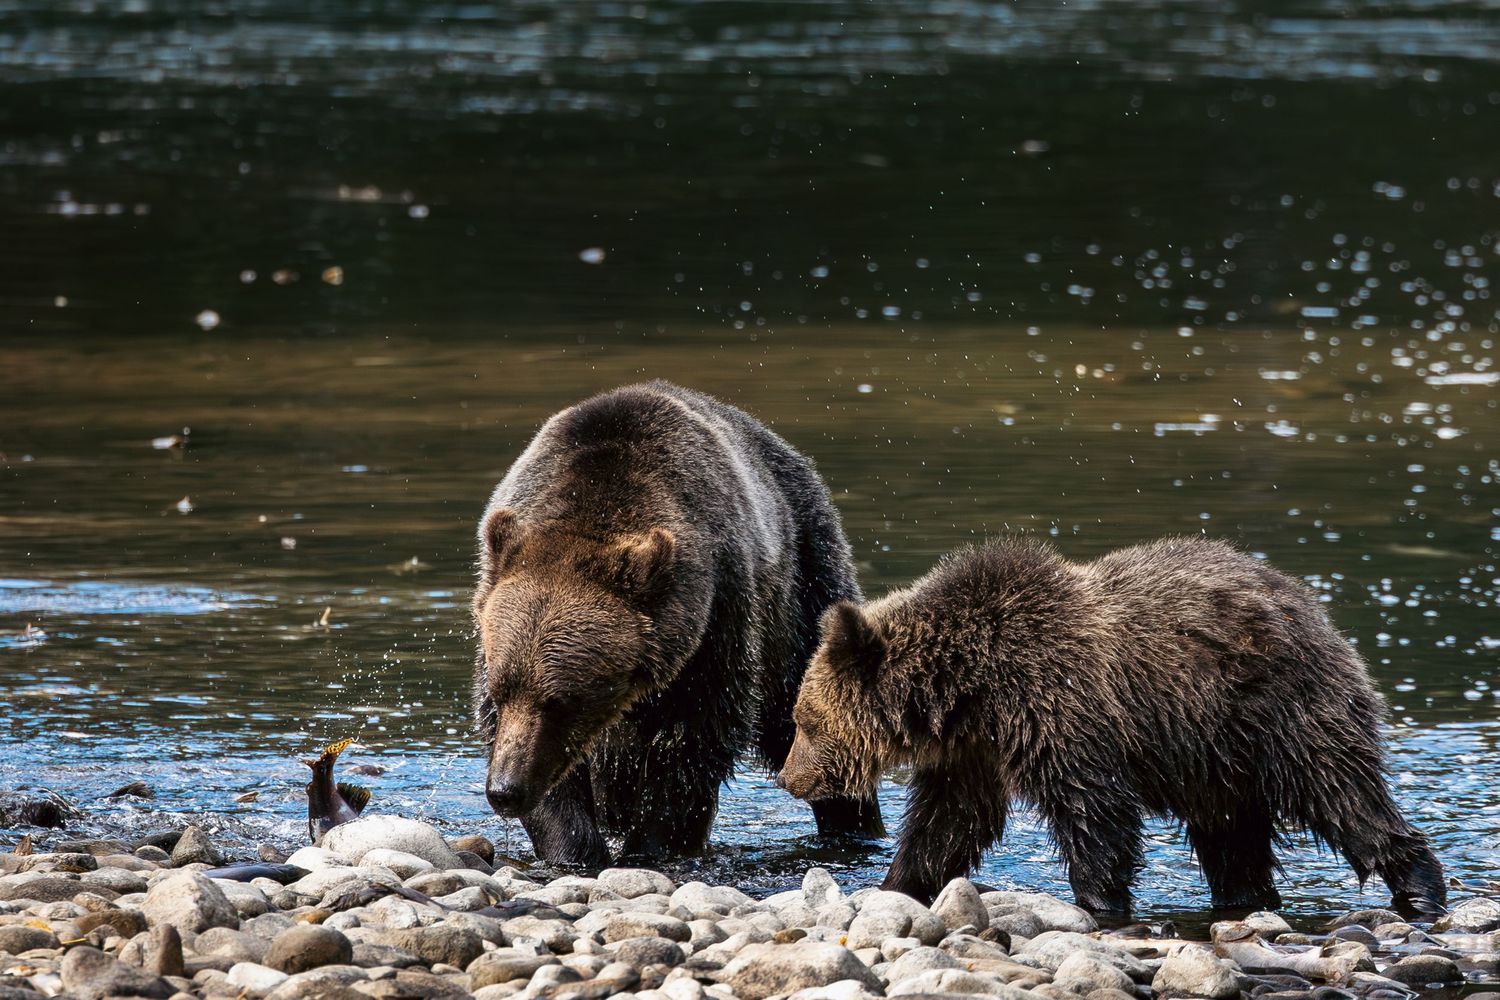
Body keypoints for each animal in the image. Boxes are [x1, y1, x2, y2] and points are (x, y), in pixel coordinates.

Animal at [472, 381, 884, 864]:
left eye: (563, 700)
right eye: (502, 689)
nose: (505, 790)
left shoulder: (716, 617)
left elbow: (694, 743)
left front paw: (652, 847)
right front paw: (575, 847)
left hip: (805, 582)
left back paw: (855, 827)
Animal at [779, 535, 1445, 917]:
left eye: (803, 721)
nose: (788, 777)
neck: (972, 690)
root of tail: (1312, 606)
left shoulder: (1062, 710)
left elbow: (1096, 813)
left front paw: (1100, 902)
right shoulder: (975, 752)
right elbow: (947, 822)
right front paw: (896, 884)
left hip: (1280, 711)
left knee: (1342, 794)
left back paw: (1419, 886)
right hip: (1218, 762)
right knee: (1234, 841)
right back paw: (1247, 898)